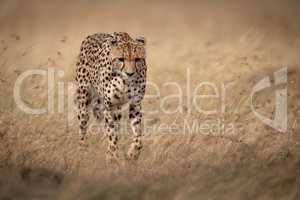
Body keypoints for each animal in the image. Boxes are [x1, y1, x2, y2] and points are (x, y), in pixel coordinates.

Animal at [74, 32, 146, 162]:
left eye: (137, 59)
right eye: (121, 59)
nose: (130, 73)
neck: (125, 82)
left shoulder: (135, 104)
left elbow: (138, 134)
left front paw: (133, 154)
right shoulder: (110, 106)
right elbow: (112, 134)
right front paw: (113, 156)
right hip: (84, 99)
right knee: (83, 124)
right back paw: (82, 148)